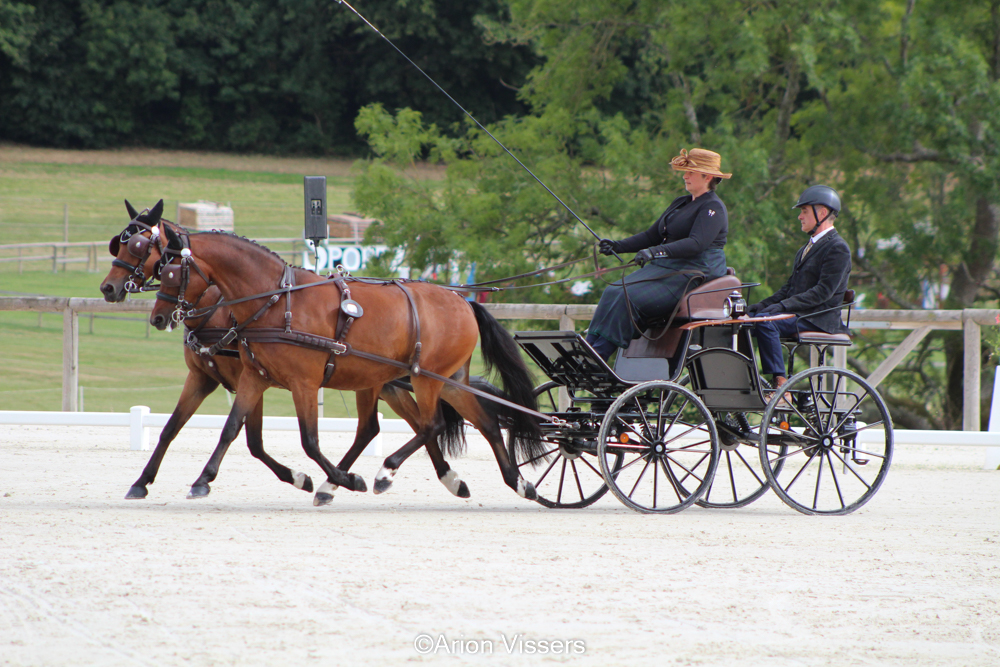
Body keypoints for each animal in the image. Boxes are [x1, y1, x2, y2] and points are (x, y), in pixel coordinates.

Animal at [149, 224, 544, 505]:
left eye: (171, 272)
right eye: (157, 268)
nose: (157, 318)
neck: (276, 301)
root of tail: (462, 301)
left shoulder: (304, 383)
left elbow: (309, 441)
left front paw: (344, 480)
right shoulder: (255, 377)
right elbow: (231, 429)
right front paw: (202, 480)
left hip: (424, 379)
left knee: (431, 424)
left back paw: (384, 472)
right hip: (443, 379)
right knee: (485, 424)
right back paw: (518, 483)